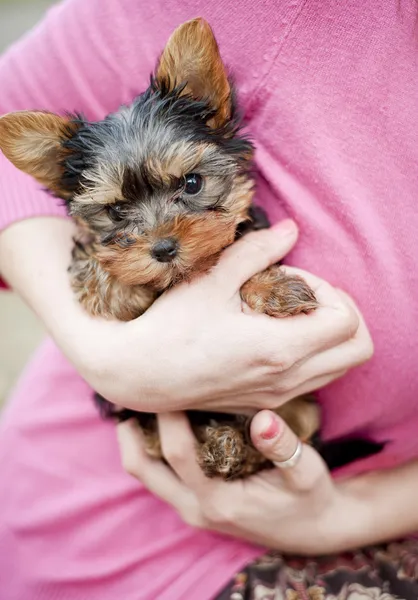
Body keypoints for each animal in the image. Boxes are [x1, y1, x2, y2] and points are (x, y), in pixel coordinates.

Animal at [0, 17, 380, 478]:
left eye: (192, 182)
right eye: (116, 210)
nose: (163, 248)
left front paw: (274, 289)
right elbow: (100, 277)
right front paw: (116, 282)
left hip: (300, 411)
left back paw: (230, 447)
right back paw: (222, 444)